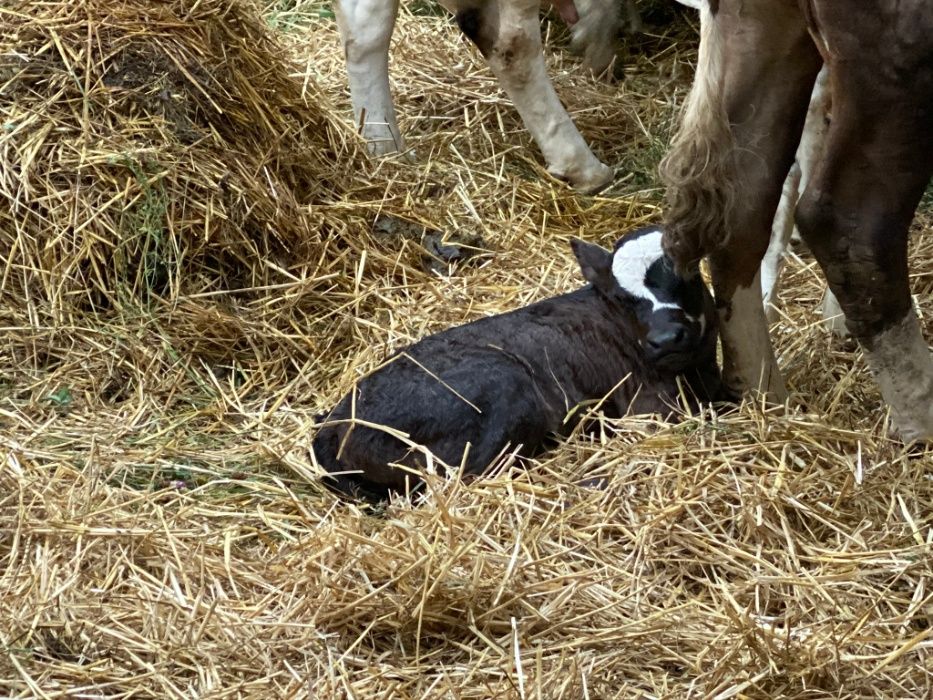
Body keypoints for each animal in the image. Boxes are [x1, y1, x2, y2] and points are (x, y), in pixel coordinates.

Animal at [314, 226, 720, 504]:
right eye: (622, 298)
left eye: (687, 277)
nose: (667, 338)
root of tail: (332, 425)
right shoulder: (649, 407)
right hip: (505, 387)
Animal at [656, 0, 932, 440]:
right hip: (897, 55)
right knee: (850, 224)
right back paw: (921, 425)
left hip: (761, 30)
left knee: (740, 208)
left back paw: (761, 396)